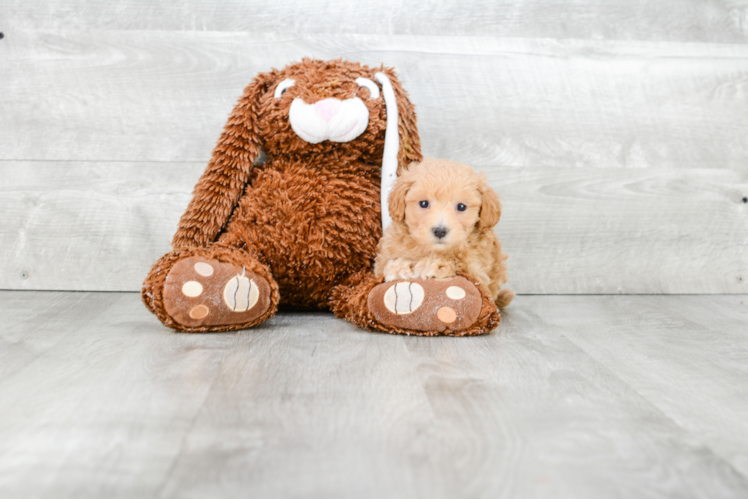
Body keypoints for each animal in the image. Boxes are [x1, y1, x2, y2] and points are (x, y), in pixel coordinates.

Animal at [374, 159, 516, 308]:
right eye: (423, 203)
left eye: (461, 207)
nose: (440, 231)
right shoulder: (383, 260)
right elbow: (384, 268)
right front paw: (398, 268)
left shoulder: (478, 273)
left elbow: (460, 267)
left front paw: (434, 264)